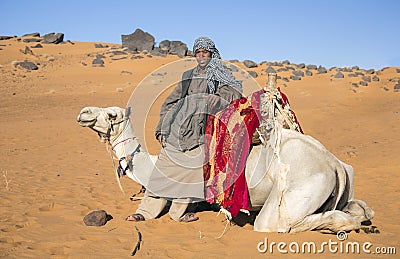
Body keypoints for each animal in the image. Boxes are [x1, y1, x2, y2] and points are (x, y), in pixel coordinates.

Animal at [76, 105, 374, 234]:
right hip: (342, 181)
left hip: (299, 188)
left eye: (112, 114)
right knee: (359, 208)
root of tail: (334, 164)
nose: (83, 112)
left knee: (276, 224)